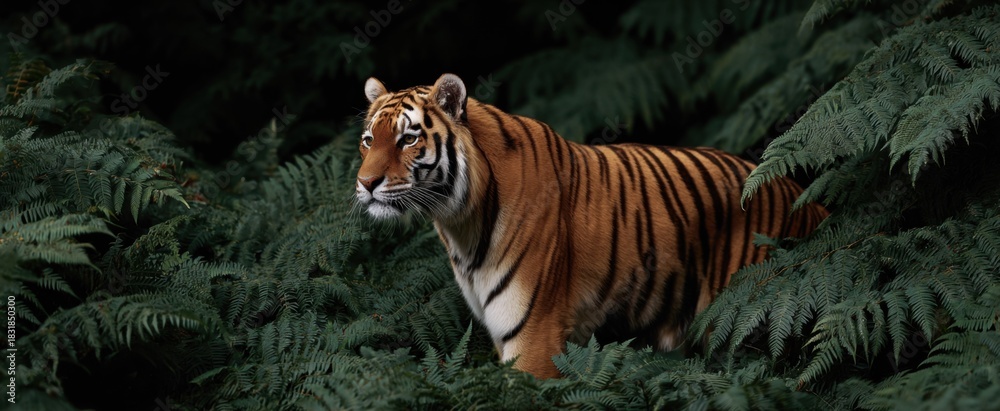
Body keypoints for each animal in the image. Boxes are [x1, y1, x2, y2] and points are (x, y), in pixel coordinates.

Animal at [355, 73, 828, 379]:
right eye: (368, 140)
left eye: (409, 139)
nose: (365, 183)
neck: (460, 223)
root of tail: (804, 197)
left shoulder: (534, 339)